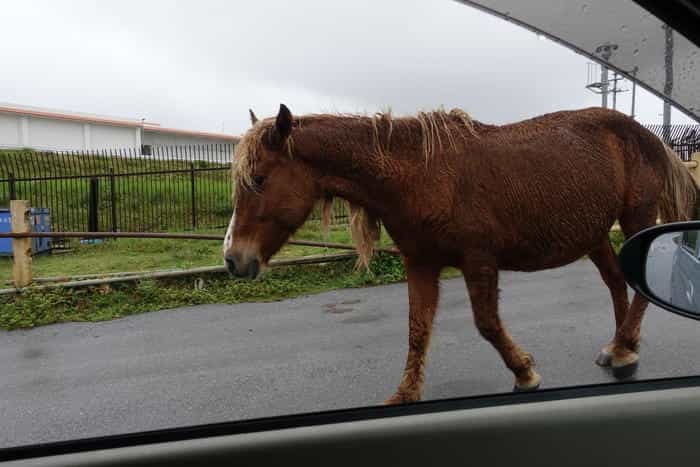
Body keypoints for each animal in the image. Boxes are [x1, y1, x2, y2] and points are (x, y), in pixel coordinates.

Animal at [223, 104, 696, 404]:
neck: (420, 176)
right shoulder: (421, 263)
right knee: (618, 284)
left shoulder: (478, 261)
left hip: (637, 220)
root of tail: (647, 135)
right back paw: (622, 346)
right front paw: (405, 394)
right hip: (595, 235)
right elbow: (417, 331)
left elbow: (486, 324)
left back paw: (624, 348)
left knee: (636, 289)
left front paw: (525, 372)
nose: (233, 259)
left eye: (259, 179)